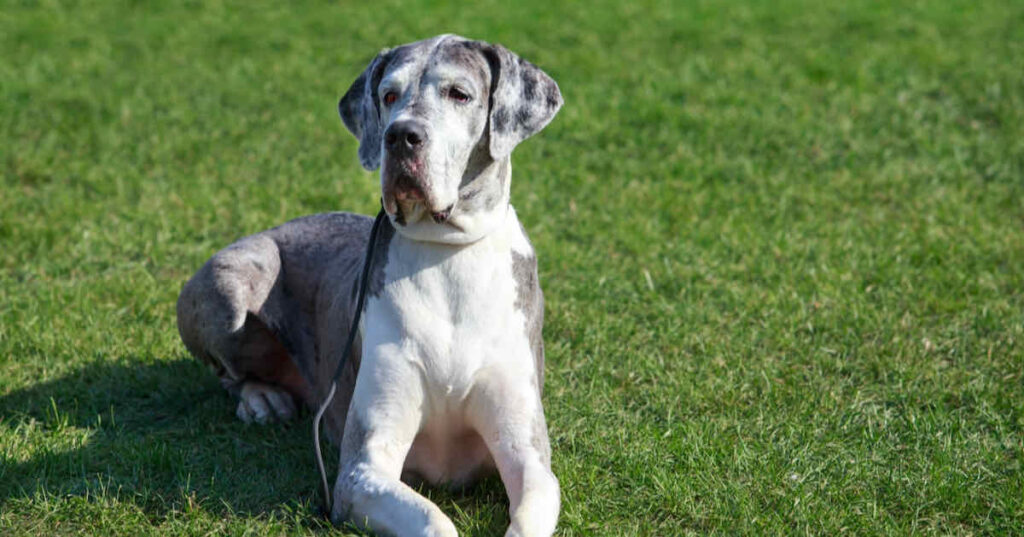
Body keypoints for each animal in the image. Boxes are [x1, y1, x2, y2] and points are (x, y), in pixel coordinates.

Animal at [176, 35, 561, 532]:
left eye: (459, 94)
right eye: (388, 95)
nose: (400, 136)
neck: (445, 252)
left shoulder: (528, 457)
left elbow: (528, 512)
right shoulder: (362, 469)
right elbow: (433, 520)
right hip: (233, 283)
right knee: (228, 373)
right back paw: (262, 398)